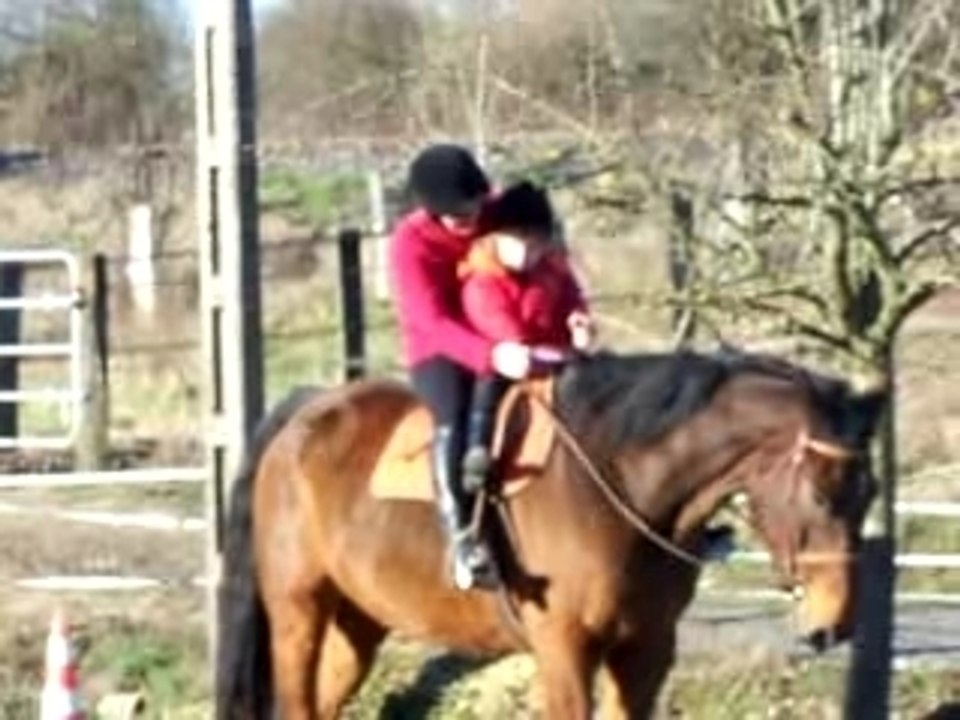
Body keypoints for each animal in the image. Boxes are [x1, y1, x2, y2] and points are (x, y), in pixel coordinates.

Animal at [216, 349, 885, 720]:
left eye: (872, 494)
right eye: (821, 496)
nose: (835, 625)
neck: (621, 480)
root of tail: (306, 413)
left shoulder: (646, 651)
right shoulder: (565, 650)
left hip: (358, 623)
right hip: (299, 611)